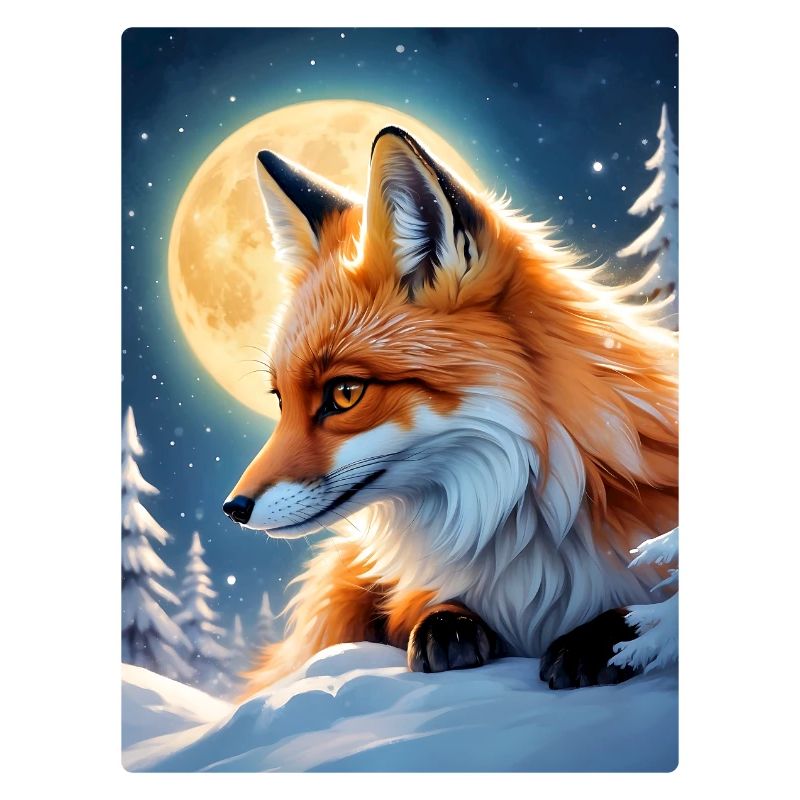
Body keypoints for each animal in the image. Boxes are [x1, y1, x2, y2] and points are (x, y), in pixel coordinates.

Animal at [222, 125, 678, 698]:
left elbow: (653, 609)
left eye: (344, 393)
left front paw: (606, 638)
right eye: (281, 400)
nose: (233, 508)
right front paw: (446, 624)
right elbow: (420, 607)